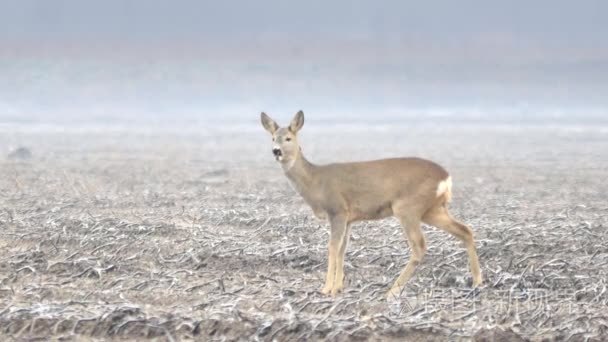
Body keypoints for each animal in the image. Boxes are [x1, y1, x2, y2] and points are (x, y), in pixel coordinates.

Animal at [258, 111, 482, 296]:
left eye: (288, 138)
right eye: (273, 138)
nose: (276, 151)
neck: (315, 181)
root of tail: (446, 177)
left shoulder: (337, 210)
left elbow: (332, 247)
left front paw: (326, 289)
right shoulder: (349, 218)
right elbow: (342, 249)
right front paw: (338, 287)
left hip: (407, 207)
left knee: (419, 246)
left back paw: (392, 291)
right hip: (433, 209)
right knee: (465, 230)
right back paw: (477, 282)